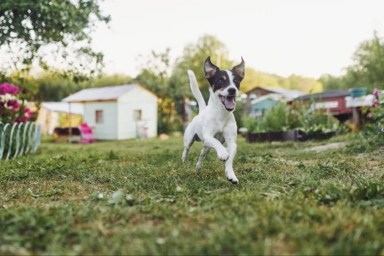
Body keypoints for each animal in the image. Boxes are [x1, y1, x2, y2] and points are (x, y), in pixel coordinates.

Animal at [182, 56, 244, 184]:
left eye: (236, 81)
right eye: (220, 80)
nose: (232, 90)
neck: (222, 114)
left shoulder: (232, 142)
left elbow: (230, 159)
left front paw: (231, 175)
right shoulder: (208, 136)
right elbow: (217, 143)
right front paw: (223, 153)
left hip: (207, 147)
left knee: (202, 153)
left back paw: (198, 166)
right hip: (190, 138)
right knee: (186, 147)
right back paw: (184, 158)